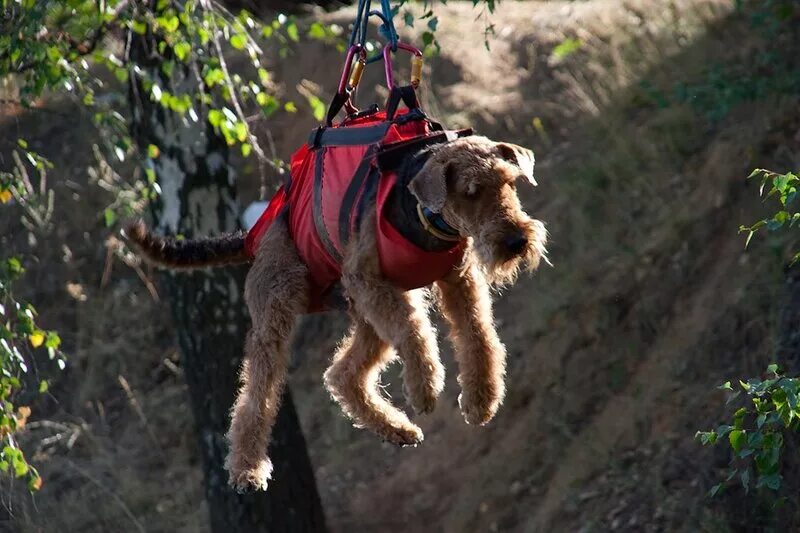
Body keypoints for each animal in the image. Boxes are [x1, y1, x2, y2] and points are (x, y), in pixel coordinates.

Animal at [126, 135, 552, 492]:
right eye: (471, 192)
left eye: (510, 183)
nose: (517, 241)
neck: (423, 215)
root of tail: (254, 237)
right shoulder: (368, 278)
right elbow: (416, 332)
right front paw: (424, 388)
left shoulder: (458, 281)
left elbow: (478, 334)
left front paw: (481, 400)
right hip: (285, 303)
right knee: (255, 395)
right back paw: (247, 469)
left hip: (365, 312)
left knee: (341, 374)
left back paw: (395, 427)